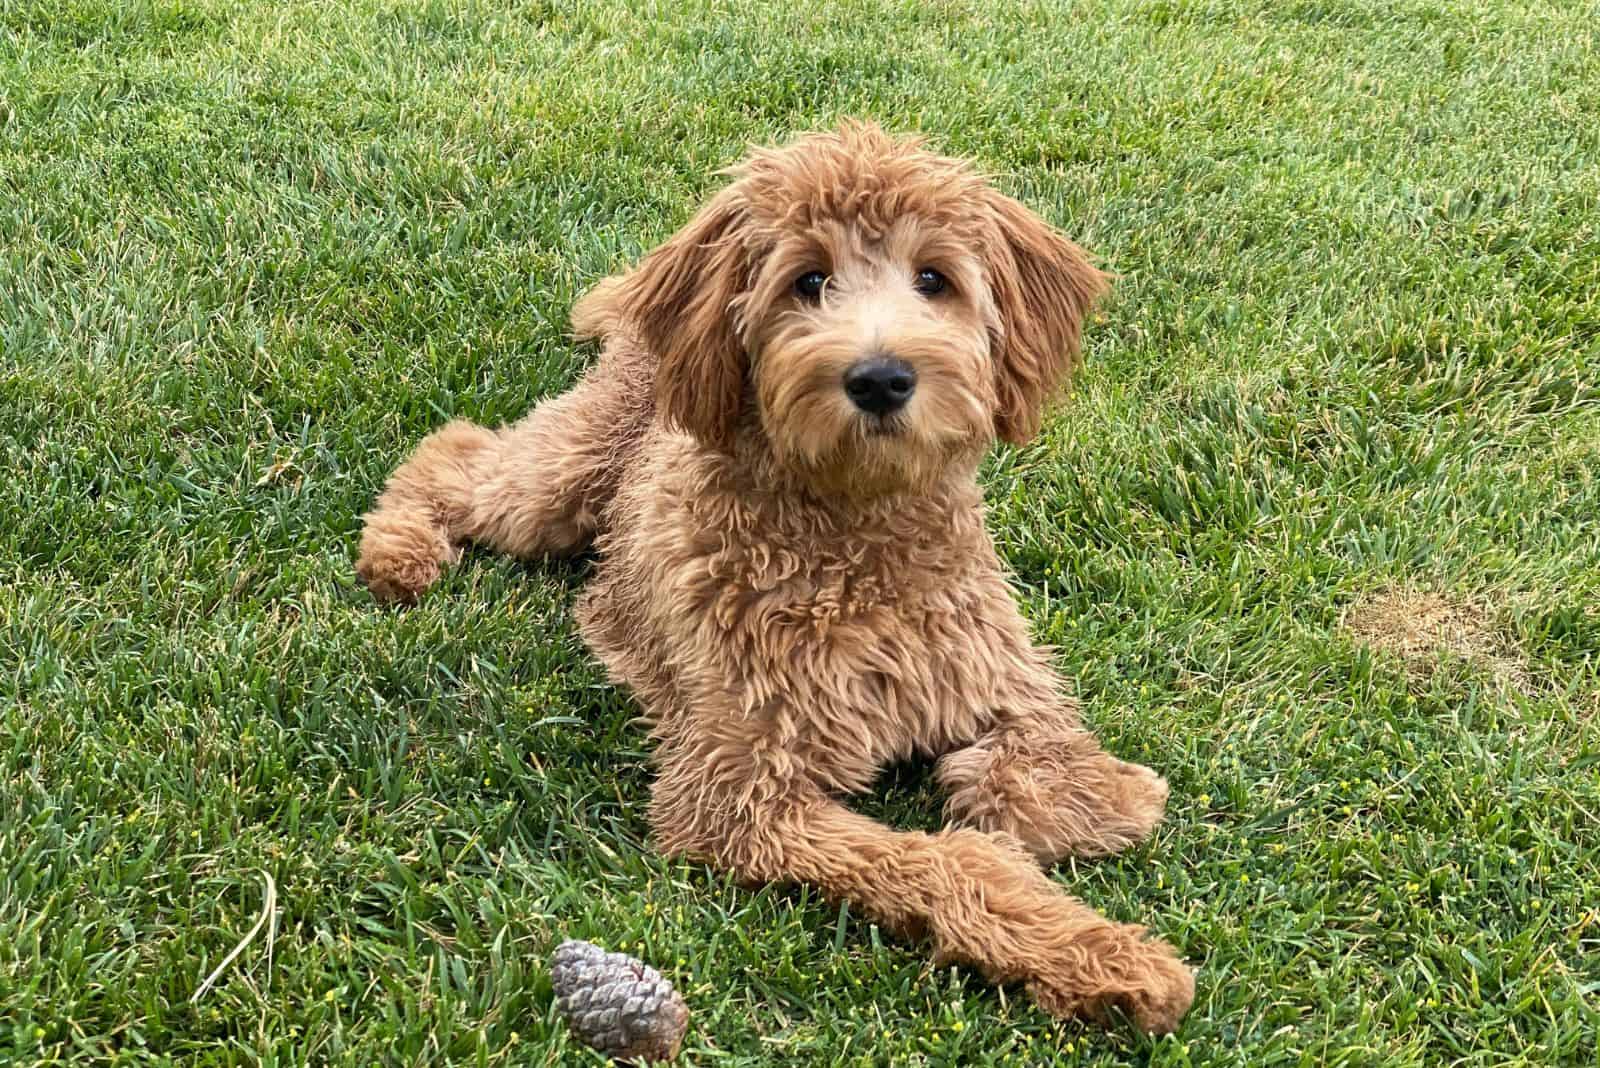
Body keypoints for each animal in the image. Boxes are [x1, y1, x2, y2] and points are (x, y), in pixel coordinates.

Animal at [356, 120, 1196, 1029]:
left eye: (933, 279)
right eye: (808, 281)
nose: (880, 378)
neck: (857, 539)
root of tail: (649, 325)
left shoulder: (1001, 677)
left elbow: (1046, 772)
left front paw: (1094, 806)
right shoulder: (736, 795)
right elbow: (942, 860)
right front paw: (1110, 957)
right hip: (559, 482)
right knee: (457, 452)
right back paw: (398, 553)